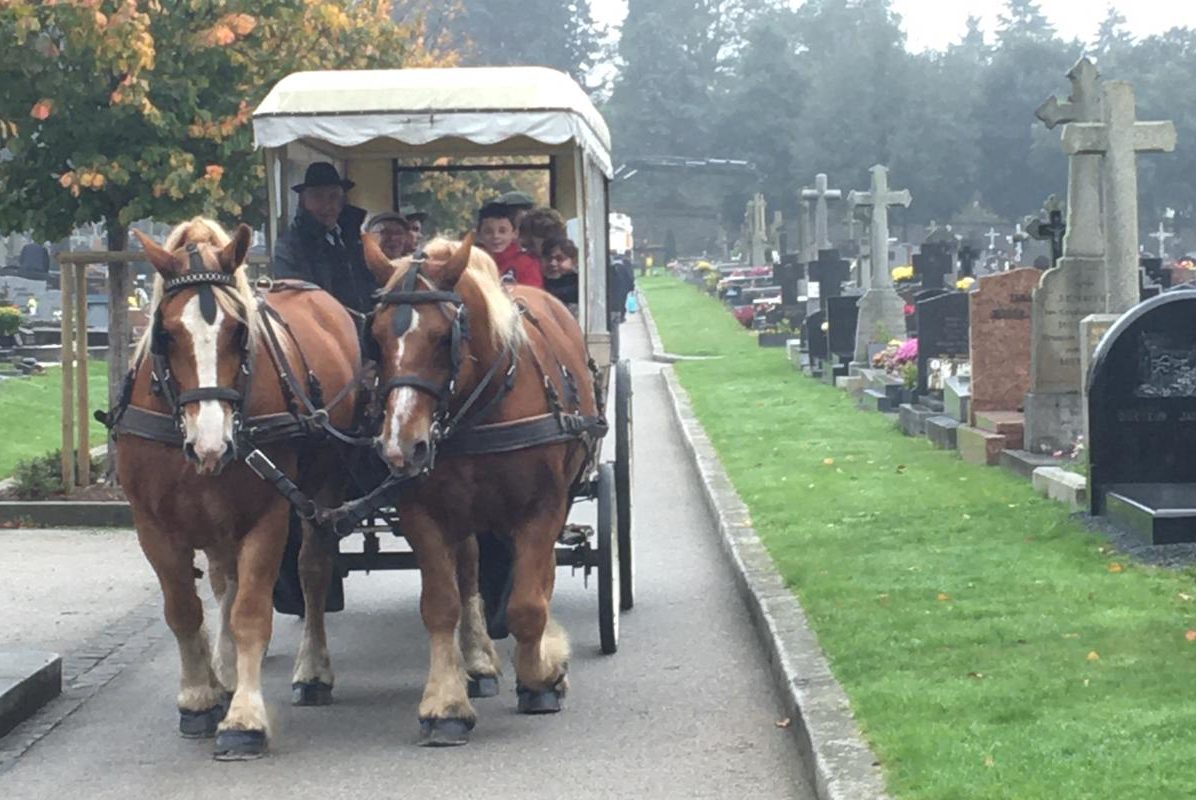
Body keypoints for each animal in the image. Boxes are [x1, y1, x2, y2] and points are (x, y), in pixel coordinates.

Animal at [116, 216, 358, 755]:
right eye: (164, 334)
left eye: (239, 331)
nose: (212, 443)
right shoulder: (153, 525)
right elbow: (185, 610)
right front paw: (199, 697)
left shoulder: (266, 515)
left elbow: (250, 612)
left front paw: (245, 718)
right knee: (223, 580)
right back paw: (223, 673)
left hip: (322, 486)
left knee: (312, 571)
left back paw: (312, 669)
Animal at [361, 234, 607, 746]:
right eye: (376, 336)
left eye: (443, 337)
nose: (401, 447)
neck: (482, 406)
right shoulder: (424, 513)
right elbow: (441, 606)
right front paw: (444, 703)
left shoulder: (543, 508)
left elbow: (528, 604)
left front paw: (542, 678)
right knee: (470, 571)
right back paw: (477, 661)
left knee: (539, 579)